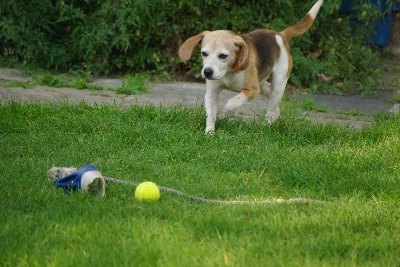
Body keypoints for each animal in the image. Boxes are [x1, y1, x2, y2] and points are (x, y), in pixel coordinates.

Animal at [180, 0, 324, 134]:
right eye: (204, 53)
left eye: (223, 56)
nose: (207, 72)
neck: (229, 72)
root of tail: (280, 35)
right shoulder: (211, 93)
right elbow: (210, 115)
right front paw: (209, 133)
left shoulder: (251, 90)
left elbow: (231, 103)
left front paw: (231, 115)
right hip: (263, 86)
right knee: (274, 107)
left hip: (277, 85)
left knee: (270, 109)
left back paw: (266, 126)